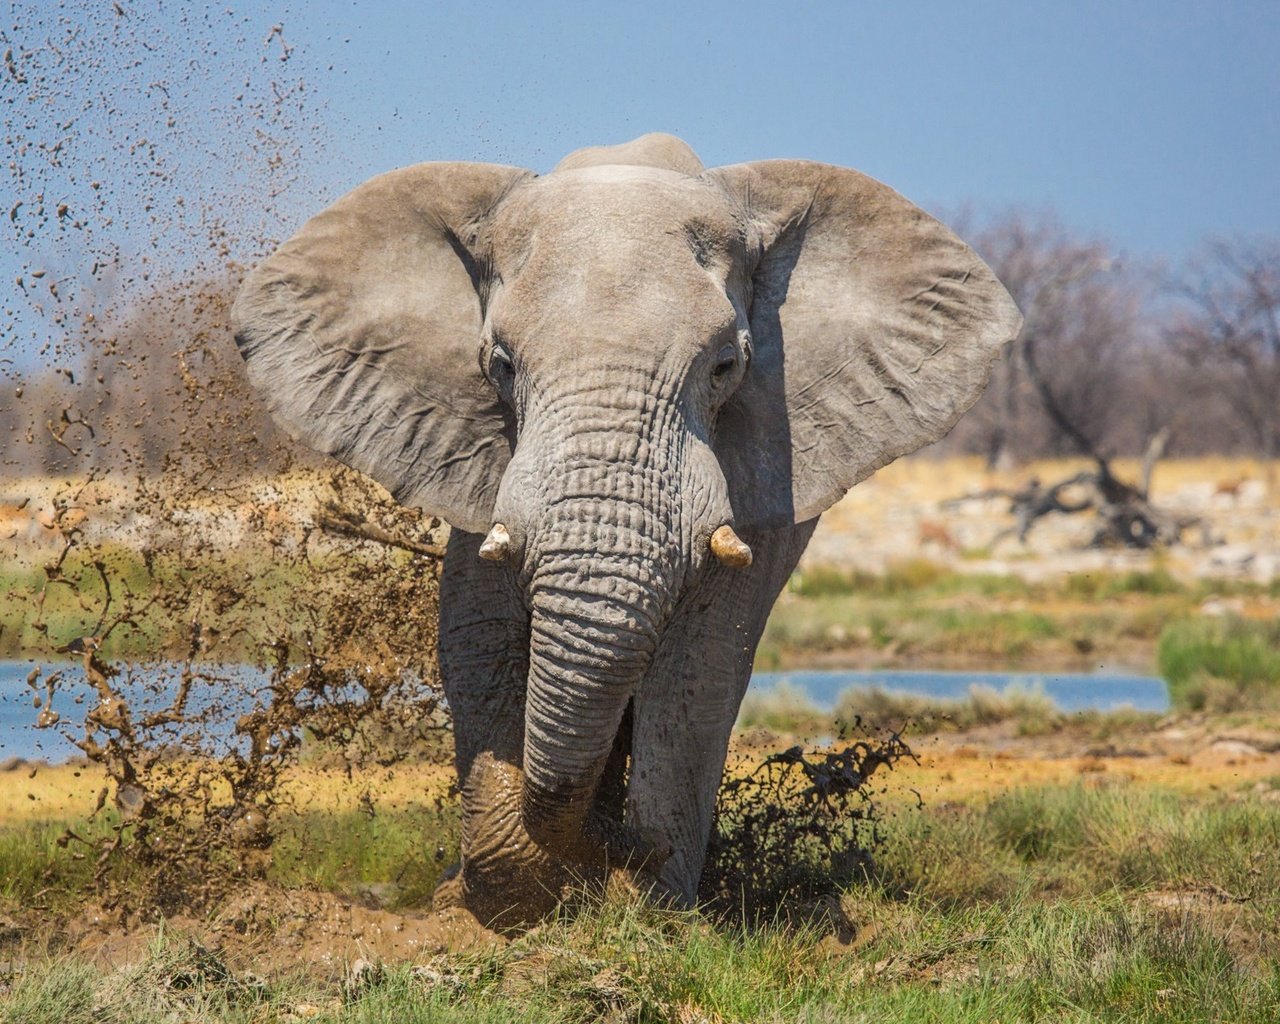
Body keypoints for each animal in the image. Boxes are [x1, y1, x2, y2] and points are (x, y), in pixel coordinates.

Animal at [235, 133, 1024, 926]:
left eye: (726, 365)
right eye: (500, 365)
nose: (618, 843)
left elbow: (702, 662)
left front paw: (646, 903)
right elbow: (477, 633)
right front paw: (506, 896)